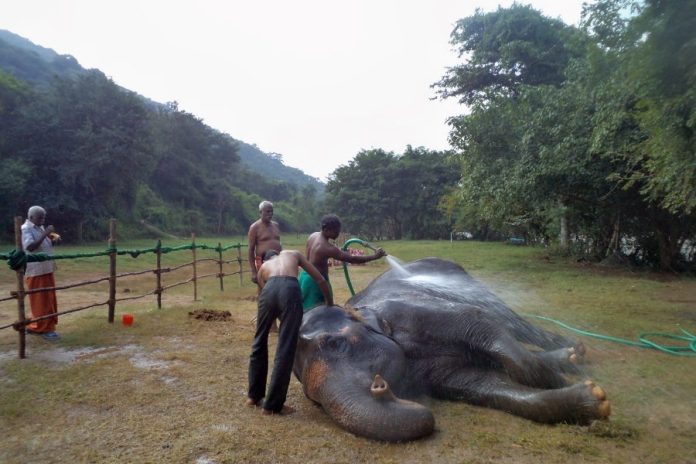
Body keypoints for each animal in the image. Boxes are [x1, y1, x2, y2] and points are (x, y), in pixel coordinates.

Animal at [292, 258, 608, 442]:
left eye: (336, 343)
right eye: (313, 400)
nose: (382, 387)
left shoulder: (416, 311)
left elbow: (476, 320)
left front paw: (563, 379)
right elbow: (483, 385)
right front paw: (593, 398)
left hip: (471, 285)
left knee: (511, 322)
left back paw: (573, 351)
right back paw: (569, 357)